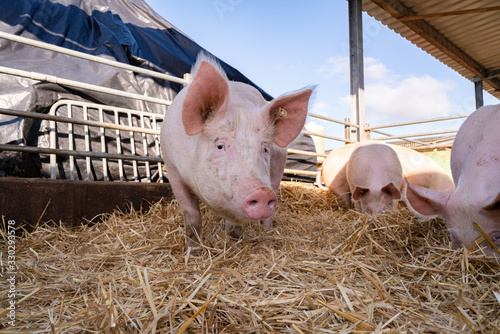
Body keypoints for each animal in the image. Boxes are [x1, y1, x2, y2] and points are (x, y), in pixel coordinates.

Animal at [162, 52, 314, 249]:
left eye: (265, 149)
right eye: (220, 146)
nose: (262, 193)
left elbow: (234, 223)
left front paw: (235, 248)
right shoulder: (171, 166)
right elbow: (191, 215)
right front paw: (194, 251)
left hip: (278, 168)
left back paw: (266, 231)